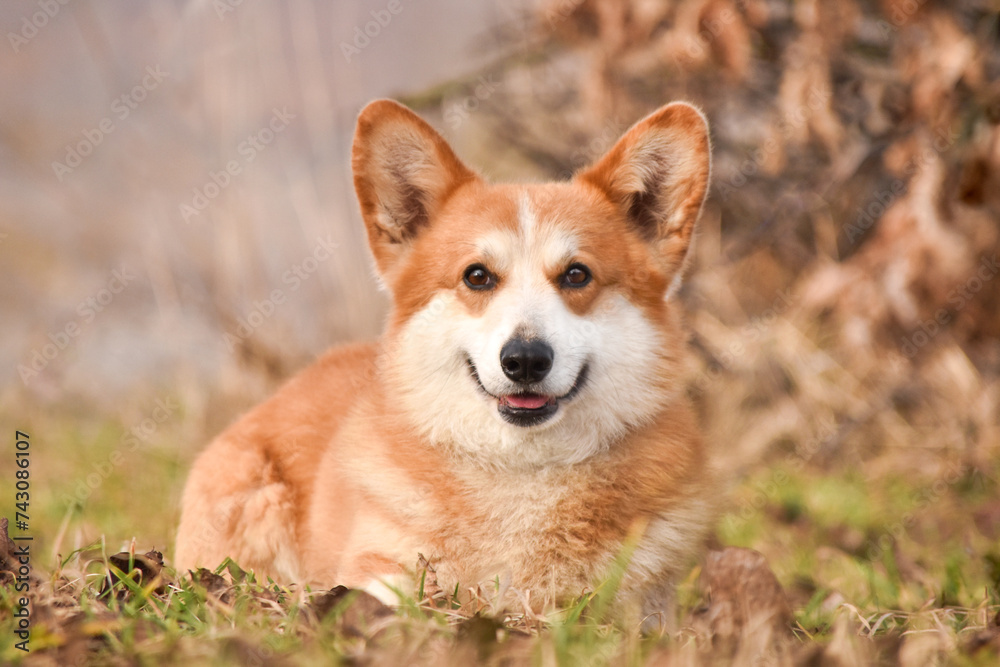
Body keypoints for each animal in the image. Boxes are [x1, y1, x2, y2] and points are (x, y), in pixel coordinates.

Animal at [176, 99, 716, 620]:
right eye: (477, 276)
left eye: (577, 275)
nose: (524, 360)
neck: (520, 470)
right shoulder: (375, 561)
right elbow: (393, 591)